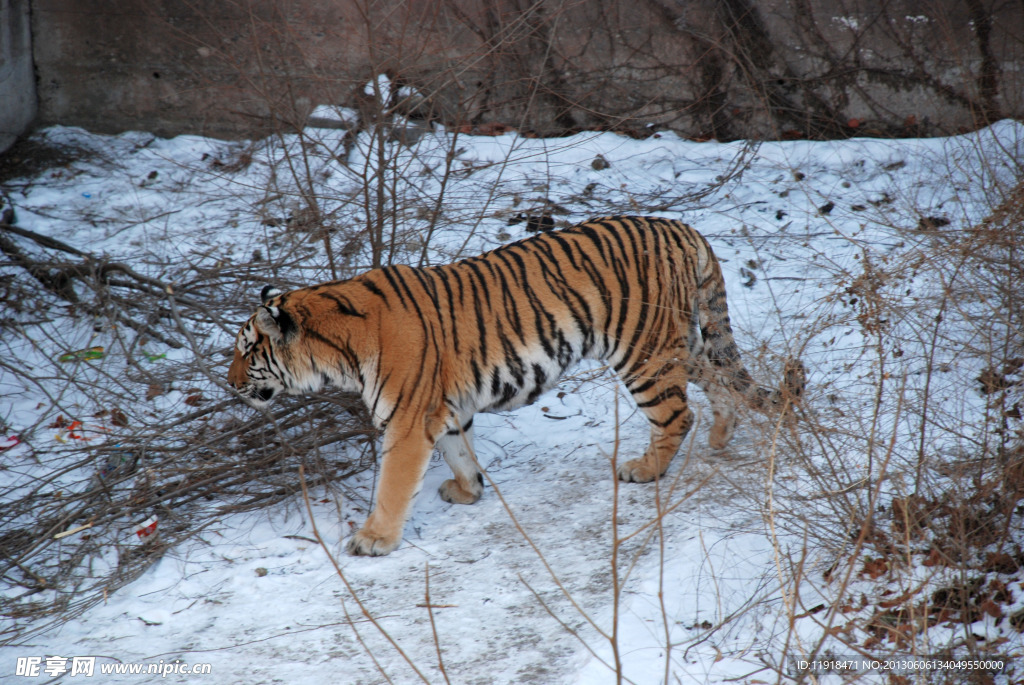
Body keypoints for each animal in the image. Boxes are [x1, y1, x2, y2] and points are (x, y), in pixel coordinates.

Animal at [228, 216, 802, 552]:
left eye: (247, 350)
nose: (230, 384)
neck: (337, 348)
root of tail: (682, 227)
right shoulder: (445, 408)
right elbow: (460, 451)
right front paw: (467, 491)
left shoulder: (407, 418)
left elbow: (392, 483)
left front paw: (373, 540)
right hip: (679, 342)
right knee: (720, 380)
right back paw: (722, 435)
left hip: (644, 352)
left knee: (678, 414)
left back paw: (644, 469)